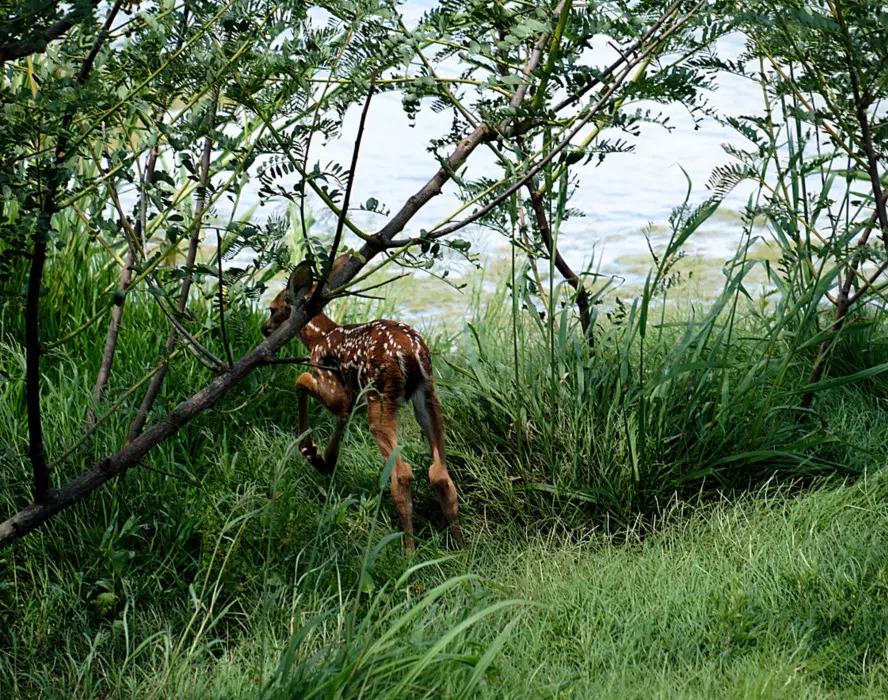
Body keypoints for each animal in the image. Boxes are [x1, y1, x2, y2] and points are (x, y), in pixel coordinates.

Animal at [262, 254, 464, 556]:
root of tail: (411, 353)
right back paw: (462, 549)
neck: (321, 336)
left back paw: (408, 551)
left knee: (402, 473)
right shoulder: (352, 394)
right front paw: (325, 460)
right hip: (428, 393)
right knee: (440, 472)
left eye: (272, 308)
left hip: (380, 396)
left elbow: (302, 380)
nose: (265, 330)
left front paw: (312, 452)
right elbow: (342, 417)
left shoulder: (330, 381)